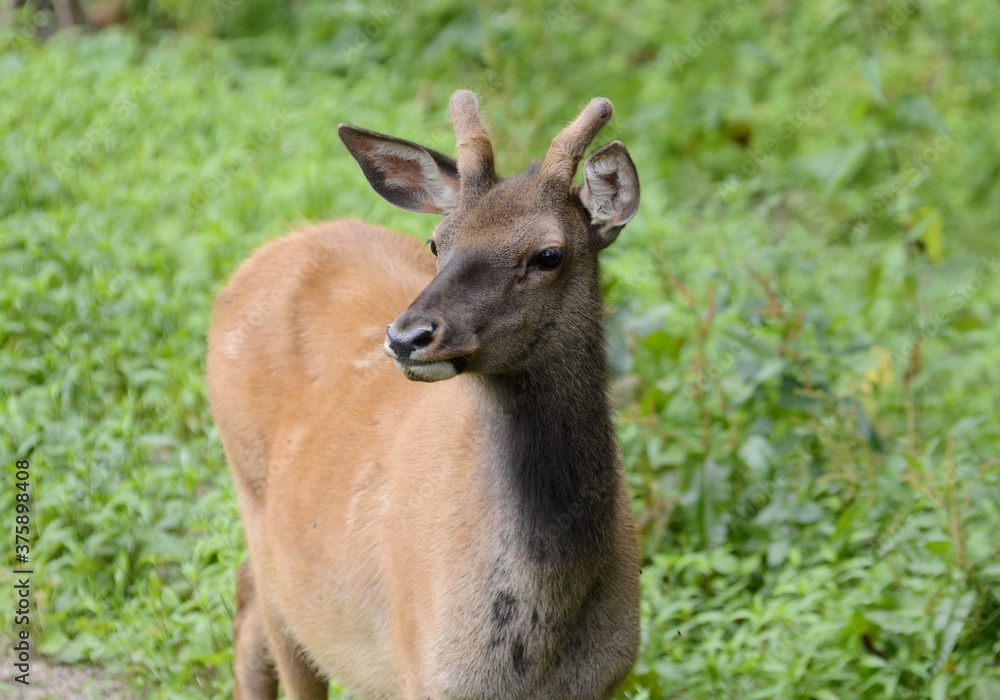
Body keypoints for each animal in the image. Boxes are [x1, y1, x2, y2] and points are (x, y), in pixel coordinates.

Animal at [206, 90, 640, 696]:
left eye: (548, 254)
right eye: (438, 241)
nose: (406, 337)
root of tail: (276, 245)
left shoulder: (610, 677)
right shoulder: (423, 674)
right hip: (257, 515)